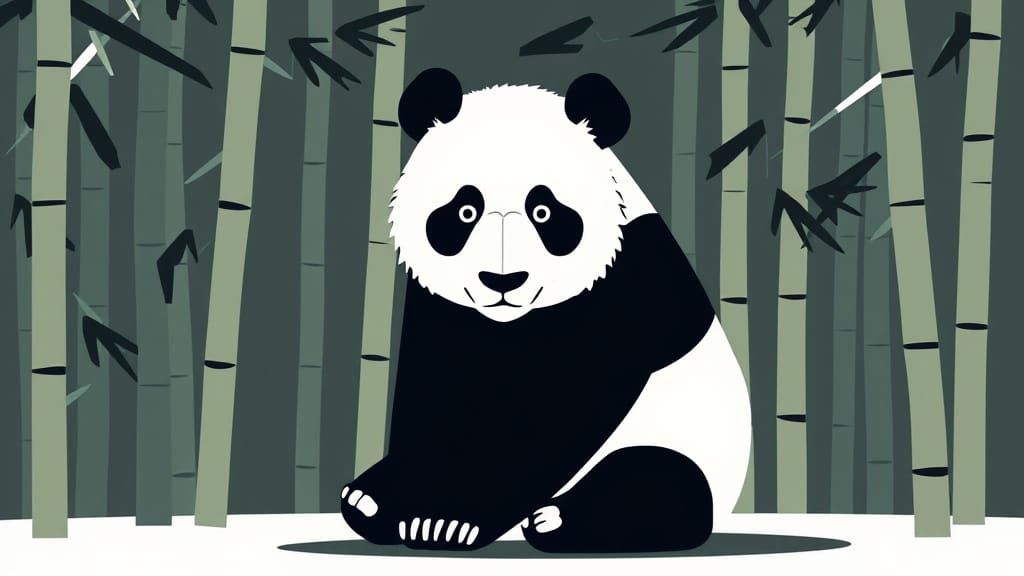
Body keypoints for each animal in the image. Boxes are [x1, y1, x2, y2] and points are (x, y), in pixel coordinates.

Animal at [340, 68, 751, 553]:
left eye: (543, 211)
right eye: (465, 210)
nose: (502, 281)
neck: (512, 320)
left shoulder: (633, 285)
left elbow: (561, 414)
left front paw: (448, 521)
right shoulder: (442, 306)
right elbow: (432, 388)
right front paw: (398, 502)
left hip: (682, 442)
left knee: (657, 479)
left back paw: (557, 520)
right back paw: (365, 498)